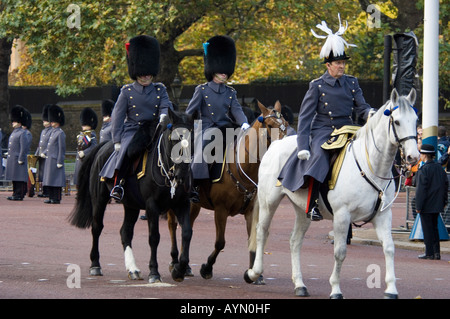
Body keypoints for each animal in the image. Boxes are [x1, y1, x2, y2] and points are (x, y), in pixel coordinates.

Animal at [68, 109, 193, 282]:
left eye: (191, 138)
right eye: (173, 139)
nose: (182, 174)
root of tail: (104, 146)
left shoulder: (182, 204)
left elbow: (187, 233)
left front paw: (179, 270)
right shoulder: (152, 205)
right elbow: (154, 237)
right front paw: (154, 272)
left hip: (131, 205)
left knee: (125, 232)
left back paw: (133, 269)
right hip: (99, 200)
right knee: (97, 227)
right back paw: (95, 265)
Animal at [166, 102, 288, 282]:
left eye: (285, 125)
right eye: (270, 125)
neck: (242, 168)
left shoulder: (251, 211)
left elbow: (252, 239)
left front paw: (253, 273)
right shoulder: (220, 210)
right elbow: (220, 242)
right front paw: (207, 268)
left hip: (194, 205)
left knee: (187, 227)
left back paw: (185, 266)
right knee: (172, 225)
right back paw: (175, 262)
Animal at [246, 89, 418, 298]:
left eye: (416, 120)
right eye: (397, 122)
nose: (413, 156)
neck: (371, 166)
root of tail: (276, 144)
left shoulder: (383, 215)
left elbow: (389, 248)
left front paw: (391, 289)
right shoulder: (342, 216)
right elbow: (340, 252)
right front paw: (335, 288)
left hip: (303, 210)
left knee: (295, 241)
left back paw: (300, 284)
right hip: (268, 202)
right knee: (262, 232)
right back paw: (254, 273)